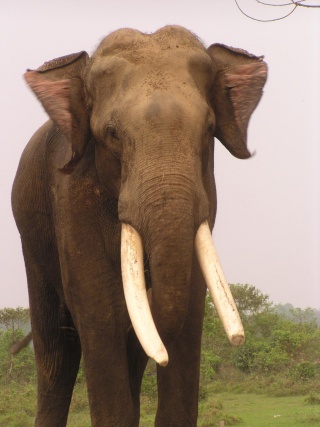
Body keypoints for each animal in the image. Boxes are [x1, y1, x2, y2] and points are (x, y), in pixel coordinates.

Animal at [11, 25, 268, 426]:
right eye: (112, 133)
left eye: (209, 128)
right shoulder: (70, 197)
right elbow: (102, 319)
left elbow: (187, 316)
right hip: (32, 238)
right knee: (56, 354)